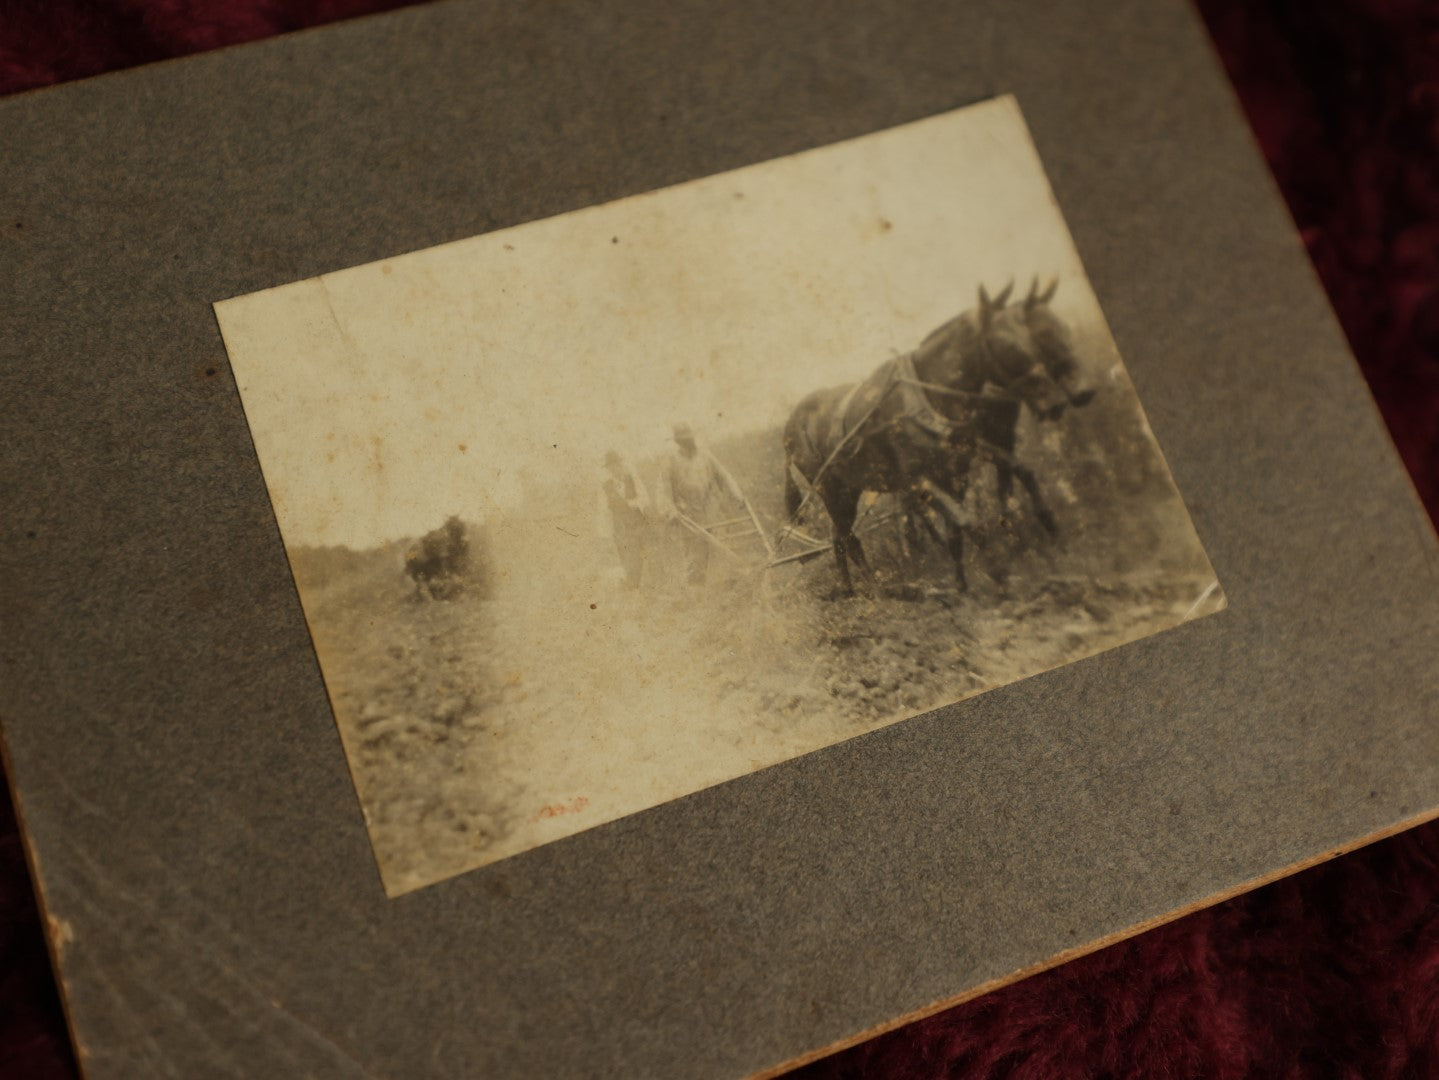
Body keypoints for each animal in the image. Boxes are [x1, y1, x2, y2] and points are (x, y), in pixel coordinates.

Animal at [782, 278, 1093, 595]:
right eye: (1010, 345)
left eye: (1035, 338)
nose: (1059, 401)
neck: (929, 397)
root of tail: (789, 429)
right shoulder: (922, 481)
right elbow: (970, 521)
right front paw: (1000, 572)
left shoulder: (963, 462)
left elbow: (991, 499)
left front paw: (964, 583)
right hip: (833, 492)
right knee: (849, 537)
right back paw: (871, 590)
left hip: (850, 491)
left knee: (841, 535)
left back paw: (852, 589)